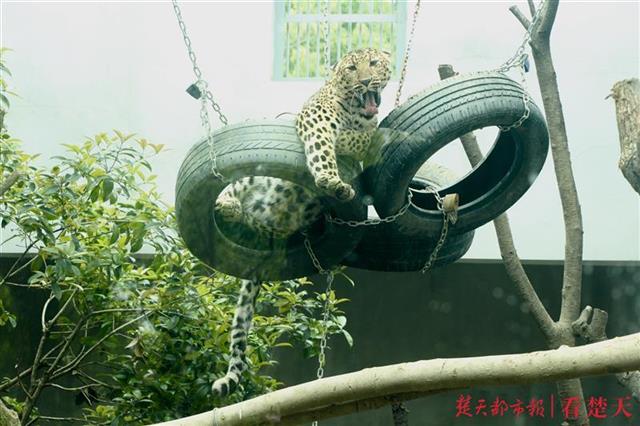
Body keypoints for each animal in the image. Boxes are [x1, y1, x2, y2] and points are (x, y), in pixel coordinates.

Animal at [211, 48, 390, 398]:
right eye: (352, 68)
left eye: (374, 64)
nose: (365, 81)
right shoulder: (316, 115)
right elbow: (325, 147)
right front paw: (331, 179)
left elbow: (362, 141)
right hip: (255, 179)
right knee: (230, 193)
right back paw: (229, 204)